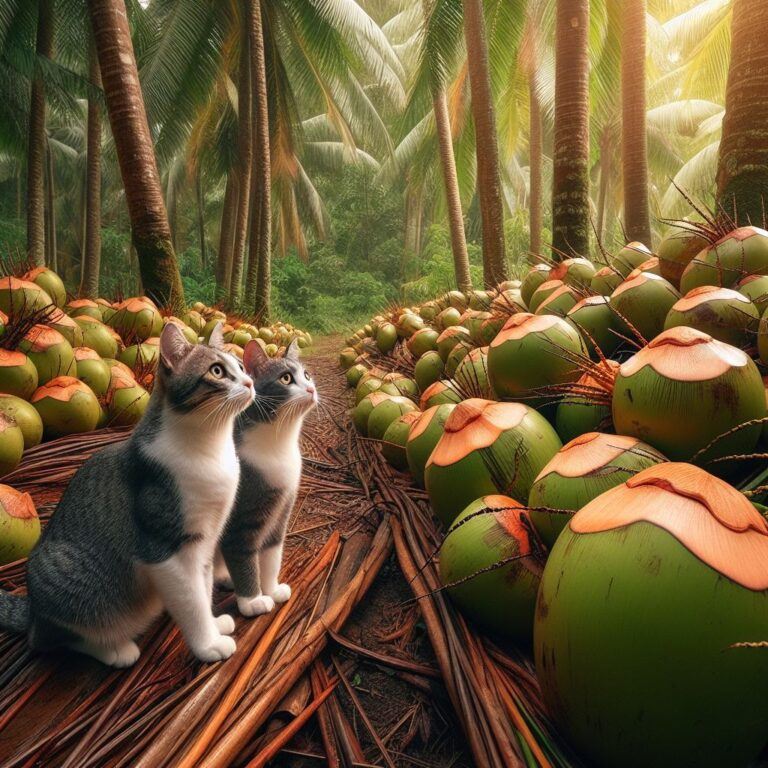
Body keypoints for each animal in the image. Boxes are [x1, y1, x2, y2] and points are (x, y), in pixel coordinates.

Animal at [0, 320, 255, 664]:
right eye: (217, 371)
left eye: (240, 366)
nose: (250, 381)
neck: (209, 447)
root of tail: (32, 613)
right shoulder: (162, 546)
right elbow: (191, 600)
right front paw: (208, 644)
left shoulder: (204, 542)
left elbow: (203, 587)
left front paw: (214, 625)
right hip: (65, 576)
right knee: (51, 638)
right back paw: (115, 649)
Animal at [219, 340, 318, 616]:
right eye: (285, 378)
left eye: (307, 375)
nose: (311, 388)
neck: (277, 444)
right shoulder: (240, 520)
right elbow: (242, 555)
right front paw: (252, 601)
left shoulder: (281, 509)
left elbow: (272, 554)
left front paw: (272, 589)